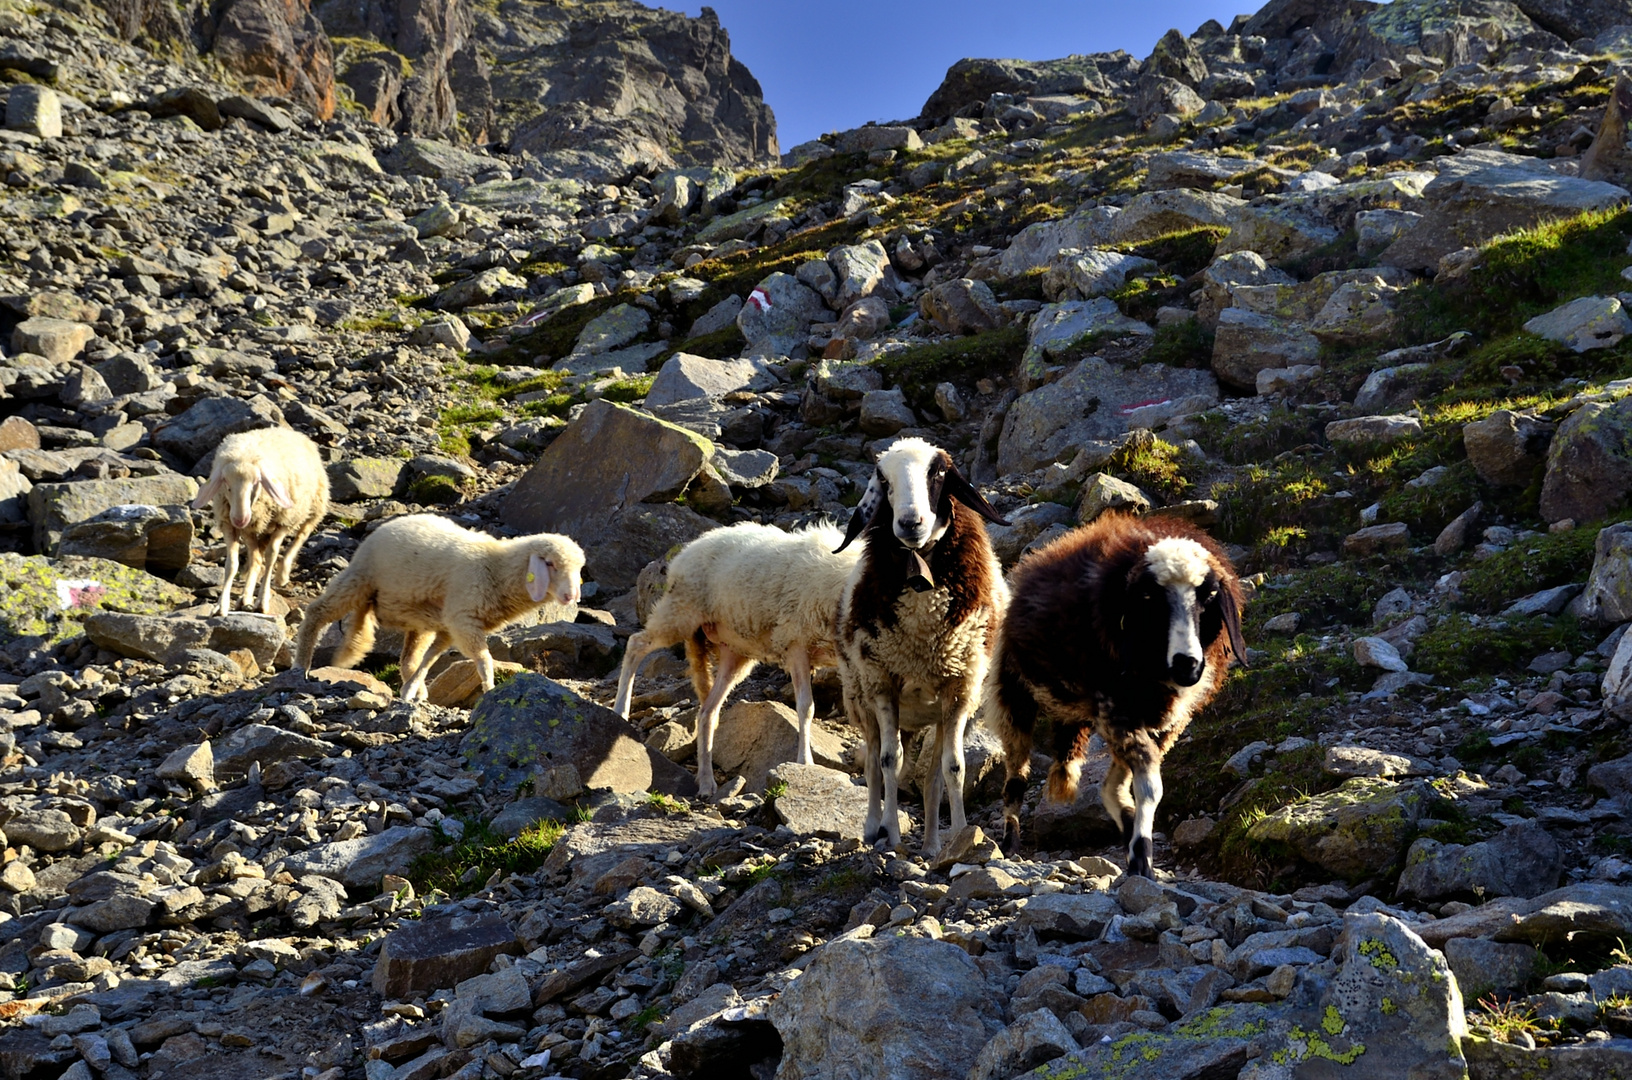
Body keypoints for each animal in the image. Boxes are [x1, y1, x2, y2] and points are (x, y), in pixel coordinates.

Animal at [190, 427, 328, 623]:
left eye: (256, 482)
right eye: (226, 482)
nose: (240, 518)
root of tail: (289, 431)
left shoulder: (281, 522)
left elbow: (271, 557)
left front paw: (262, 603)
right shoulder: (230, 525)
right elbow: (232, 565)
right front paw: (220, 607)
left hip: (312, 506)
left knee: (301, 536)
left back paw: (282, 574)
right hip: (252, 530)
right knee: (255, 559)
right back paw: (245, 597)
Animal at [293, 515, 587, 701]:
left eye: (580, 569)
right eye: (550, 564)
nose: (571, 595)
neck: (495, 568)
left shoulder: (450, 624)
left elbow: (430, 658)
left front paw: (411, 690)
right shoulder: (463, 619)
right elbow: (484, 660)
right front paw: (490, 689)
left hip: (416, 619)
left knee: (408, 658)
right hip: (360, 578)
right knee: (316, 612)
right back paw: (300, 666)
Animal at [613, 525, 868, 802]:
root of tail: (693, 546)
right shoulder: (796, 643)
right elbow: (806, 707)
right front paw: (805, 763)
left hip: (734, 653)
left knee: (707, 712)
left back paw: (706, 782)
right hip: (680, 612)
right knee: (636, 644)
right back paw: (620, 711)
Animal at [835, 437, 1011, 854]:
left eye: (940, 472)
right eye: (883, 479)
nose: (910, 523)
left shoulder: (960, 688)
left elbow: (953, 768)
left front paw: (960, 835)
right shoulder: (882, 681)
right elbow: (889, 761)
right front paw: (891, 833)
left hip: (939, 715)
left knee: (931, 776)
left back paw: (932, 844)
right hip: (860, 697)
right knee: (874, 763)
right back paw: (873, 827)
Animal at [979, 515, 1246, 880]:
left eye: (1209, 596)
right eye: (1149, 597)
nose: (1187, 664)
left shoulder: (1165, 723)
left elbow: (1132, 785)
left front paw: (1136, 842)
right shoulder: (1115, 707)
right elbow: (1150, 786)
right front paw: (1141, 858)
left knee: (1109, 783)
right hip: (1014, 697)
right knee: (1015, 779)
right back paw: (1010, 843)